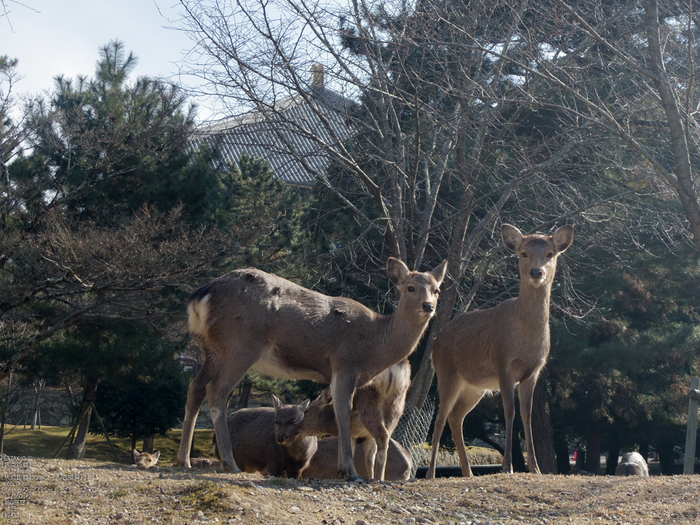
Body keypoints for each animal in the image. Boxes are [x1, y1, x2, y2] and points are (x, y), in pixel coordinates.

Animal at [178, 256, 446, 482]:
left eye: (436, 289)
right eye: (410, 287)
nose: (428, 306)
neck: (374, 344)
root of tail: (201, 295)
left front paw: (346, 470)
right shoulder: (345, 363)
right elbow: (342, 412)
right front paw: (350, 471)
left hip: (212, 349)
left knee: (196, 386)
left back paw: (184, 461)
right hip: (239, 345)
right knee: (217, 390)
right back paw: (229, 463)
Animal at [426, 223, 576, 476]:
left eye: (550, 254)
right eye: (524, 253)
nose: (537, 272)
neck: (525, 340)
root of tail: (435, 342)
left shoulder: (533, 372)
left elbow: (527, 414)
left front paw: (535, 468)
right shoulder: (503, 362)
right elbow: (509, 411)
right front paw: (508, 466)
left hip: (474, 386)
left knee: (456, 417)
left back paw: (468, 472)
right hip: (446, 373)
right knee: (439, 418)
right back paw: (431, 473)